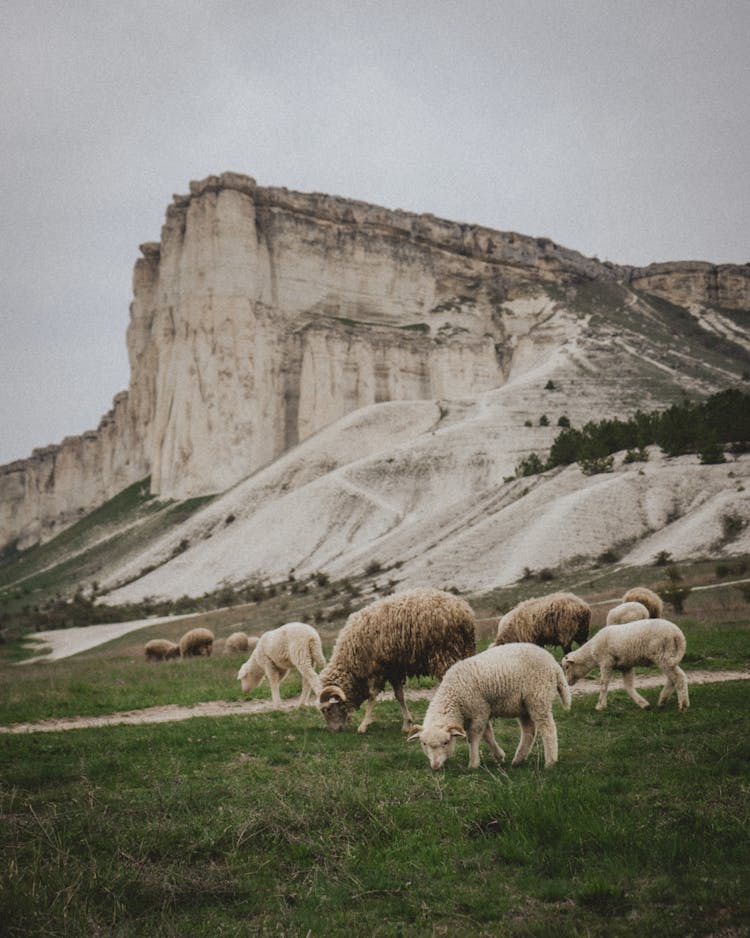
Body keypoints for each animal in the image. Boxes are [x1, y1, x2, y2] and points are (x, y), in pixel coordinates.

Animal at [318, 584, 476, 732]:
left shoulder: (377, 668)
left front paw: (363, 725)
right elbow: (399, 695)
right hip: (462, 651)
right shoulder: (393, 669)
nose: (333, 731)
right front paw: (407, 724)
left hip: (446, 653)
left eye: (328, 709)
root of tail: (464, 611)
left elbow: (372, 696)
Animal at [408, 644, 572, 768]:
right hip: (524, 706)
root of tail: (553, 663)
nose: (435, 766)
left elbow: (474, 737)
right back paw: (518, 760)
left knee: (547, 728)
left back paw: (550, 762)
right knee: (529, 731)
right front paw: (499, 756)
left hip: (538, 697)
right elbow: (487, 735)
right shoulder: (480, 712)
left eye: (446, 743)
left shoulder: (479, 710)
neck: (453, 696)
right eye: (424, 744)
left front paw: (473, 763)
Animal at [560, 620, 692, 708]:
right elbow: (628, 686)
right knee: (672, 678)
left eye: (567, 667)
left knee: (678, 676)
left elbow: (603, 683)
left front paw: (600, 706)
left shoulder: (606, 662)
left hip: (663, 655)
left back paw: (683, 705)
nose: (567, 682)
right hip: (669, 655)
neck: (591, 652)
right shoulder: (626, 666)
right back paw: (662, 701)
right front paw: (643, 704)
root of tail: (677, 634)